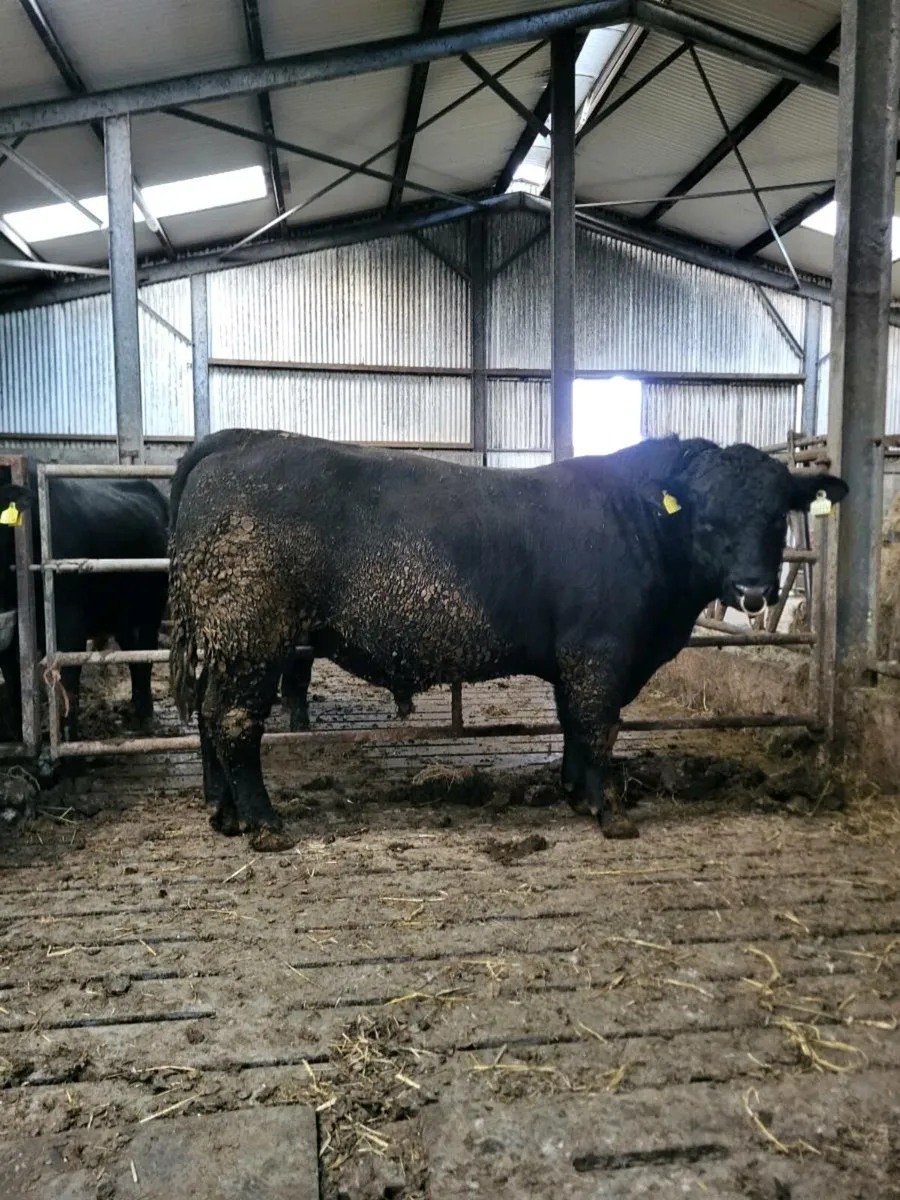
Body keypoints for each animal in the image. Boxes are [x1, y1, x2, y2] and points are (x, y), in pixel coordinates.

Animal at [0, 467, 170, 743]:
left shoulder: (70, 625)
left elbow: (67, 681)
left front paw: (68, 743)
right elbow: (16, 685)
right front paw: (18, 738)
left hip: (149, 611)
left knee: (145, 656)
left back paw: (145, 716)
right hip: (122, 615)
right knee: (134, 655)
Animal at [167, 428, 847, 842]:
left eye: (778, 516)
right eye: (707, 516)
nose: (754, 591)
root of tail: (242, 439)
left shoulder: (578, 659)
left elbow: (574, 723)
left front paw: (574, 793)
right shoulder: (600, 652)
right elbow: (598, 725)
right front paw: (608, 811)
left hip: (224, 643)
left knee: (207, 717)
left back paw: (223, 813)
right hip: (253, 635)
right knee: (233, 721)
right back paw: (262, 822)